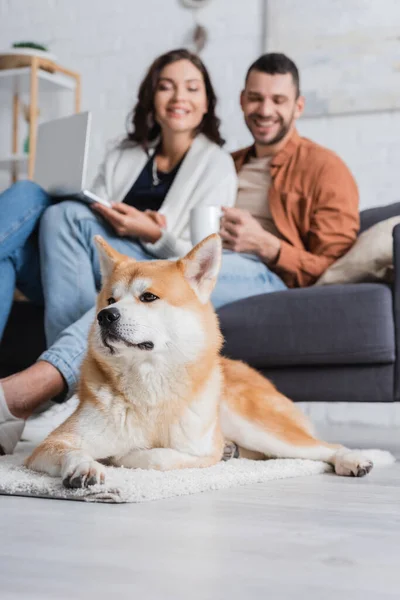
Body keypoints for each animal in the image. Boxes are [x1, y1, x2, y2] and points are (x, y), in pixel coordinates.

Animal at [26, 234, 390, 488]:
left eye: (148, 297)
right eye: (110, 300)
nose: (105, 316)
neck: (150, 391)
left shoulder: (200, 452)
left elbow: (152, 458)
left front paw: (123, 456)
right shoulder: (50, 445)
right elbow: (72, 450)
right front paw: (85, 466)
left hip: (253, 424)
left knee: (324, 446)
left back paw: (352, 459)